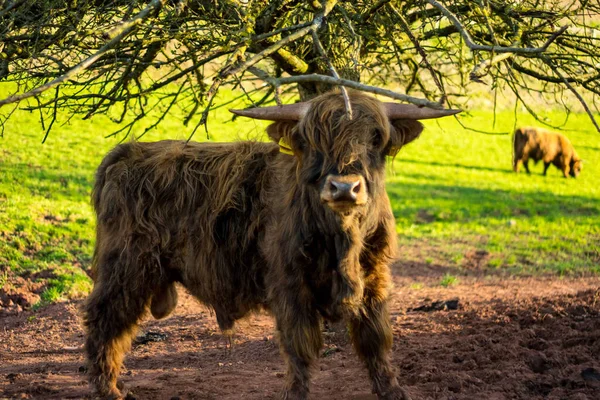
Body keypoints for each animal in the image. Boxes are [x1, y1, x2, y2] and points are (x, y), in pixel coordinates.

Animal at [84, 90, 460, 400]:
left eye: (376, 139)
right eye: (312, 141)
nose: (343, 188)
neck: (343, 242)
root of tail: (126, 152)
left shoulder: (375, 279)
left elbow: (376, 340)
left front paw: (393, 391)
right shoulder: (290, 284)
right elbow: (301, 345)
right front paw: (296, 394)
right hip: (126, 268)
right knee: (106, 321)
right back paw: (109, 390)